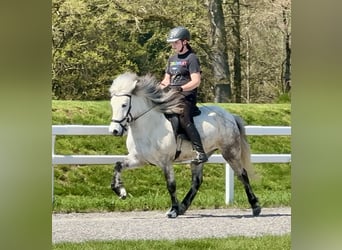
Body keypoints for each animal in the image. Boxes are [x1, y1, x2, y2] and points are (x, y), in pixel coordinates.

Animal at [108, 72, 260, 217]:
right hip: (200, 157)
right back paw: (183, 207)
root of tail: (230, 116)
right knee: (197, 181)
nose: (114, 131)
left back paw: (255, 206)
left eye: (124, 105)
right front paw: (120, 191)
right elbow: (118, 165)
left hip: (230, 152)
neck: (149, 126)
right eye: (112, 104)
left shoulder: (166, 162)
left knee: (242, 174)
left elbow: (171, 185)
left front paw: (173, 210)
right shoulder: (138, 159)